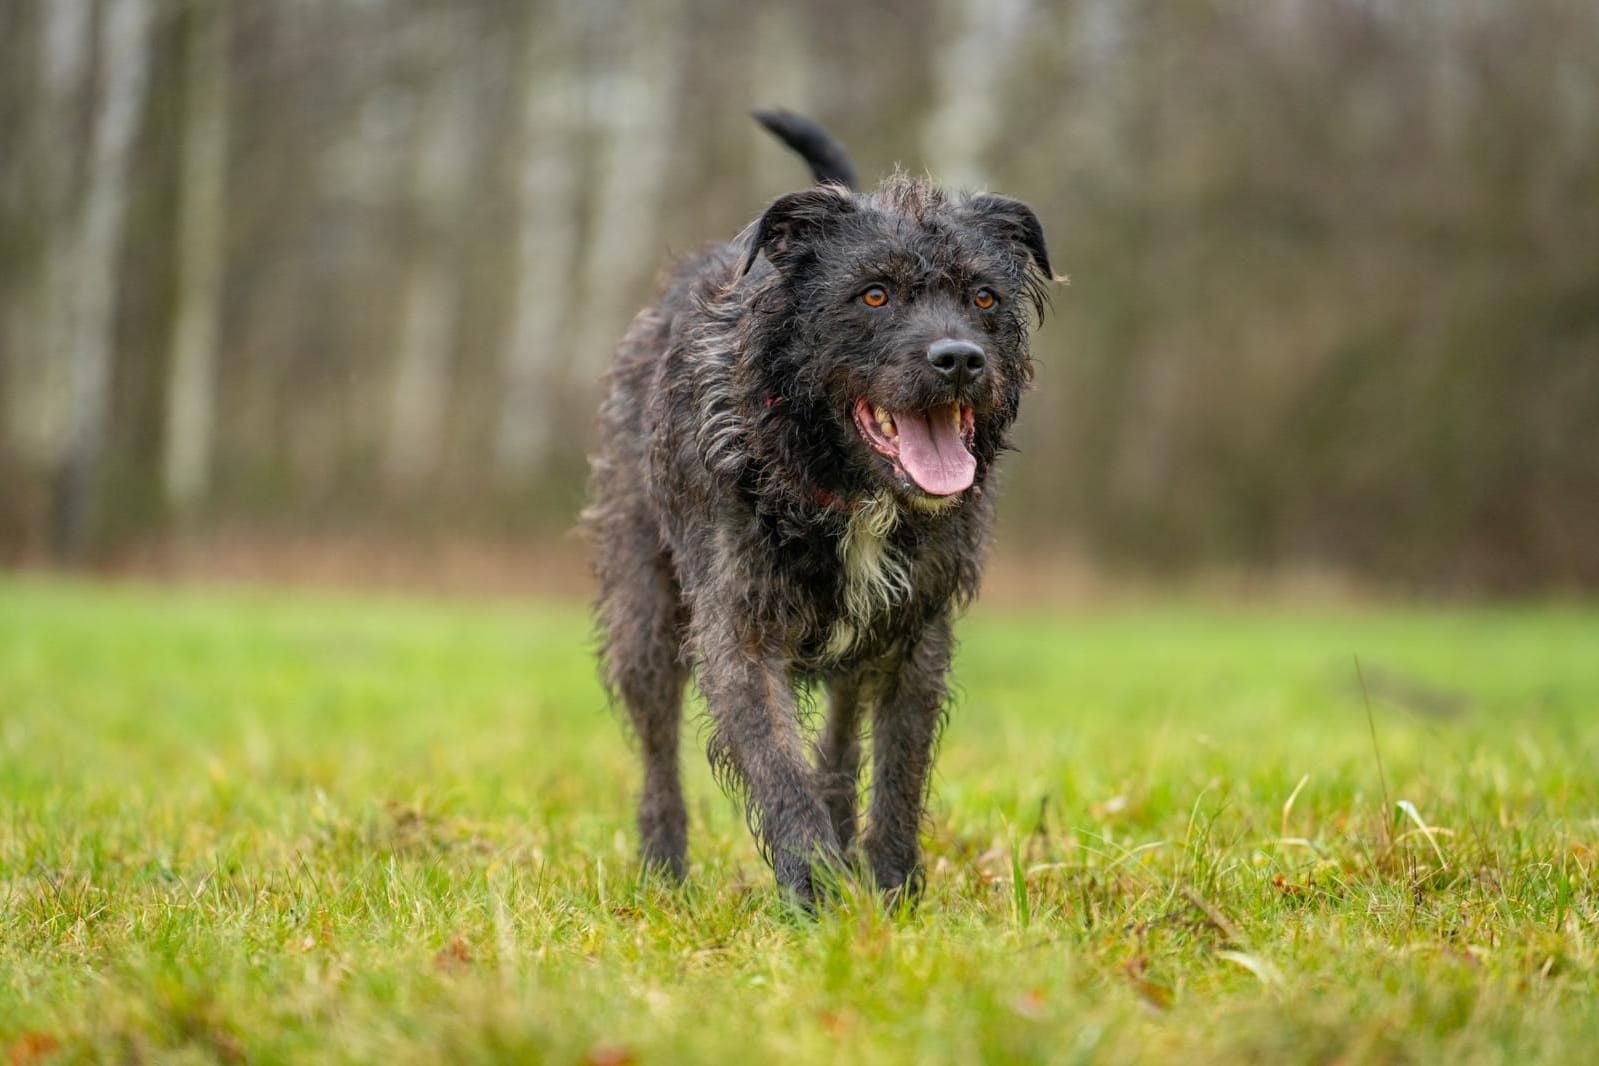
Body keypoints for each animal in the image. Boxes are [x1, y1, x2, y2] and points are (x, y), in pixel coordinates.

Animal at [585, 112, 1048, 907]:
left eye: (983, 298)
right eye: (874, 295)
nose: (960, 359)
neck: (843, 486)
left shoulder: (914, 641)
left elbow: (896, 773)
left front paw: (894, 894)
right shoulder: (738, 633)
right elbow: (777, 766)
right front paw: (816, 893)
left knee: (837, 743)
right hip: (644, 614)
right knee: (657, 749)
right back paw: (664, 871)